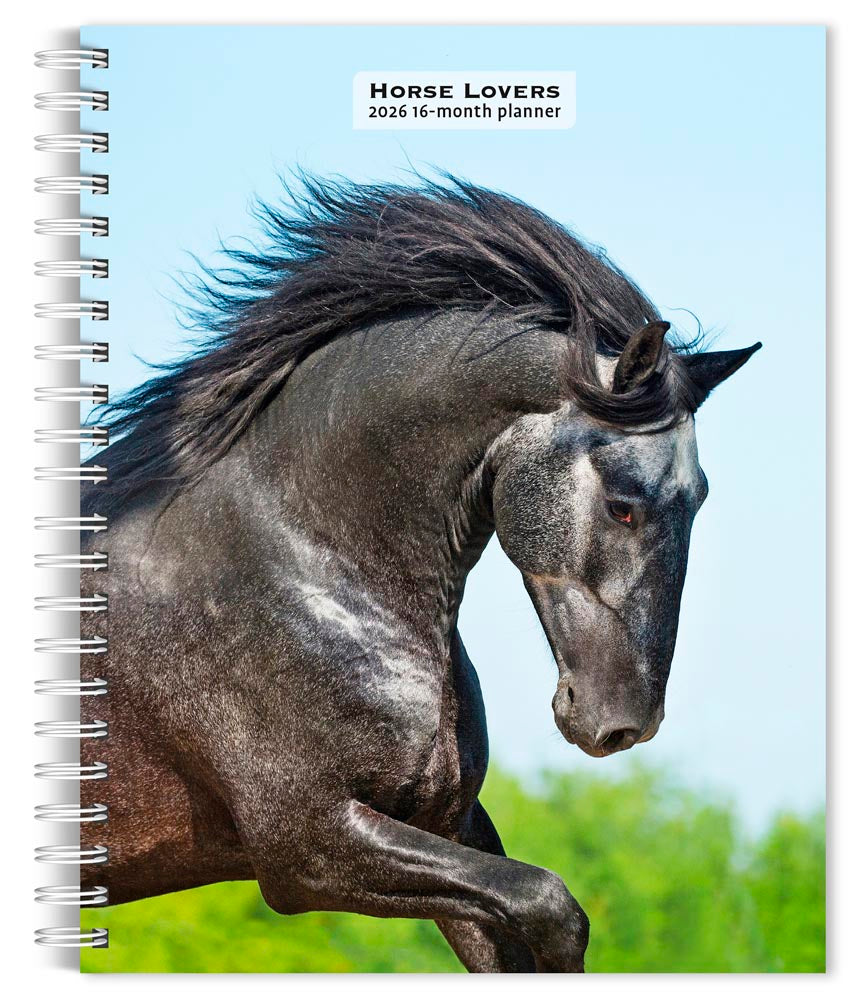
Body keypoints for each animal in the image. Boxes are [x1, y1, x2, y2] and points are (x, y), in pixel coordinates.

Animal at [81, 176, 759, 973]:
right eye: (624, 503)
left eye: (700, 497)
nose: (624, 724)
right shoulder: (307, 846)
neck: (306, 560)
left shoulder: (446, 823)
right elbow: (552, 908)